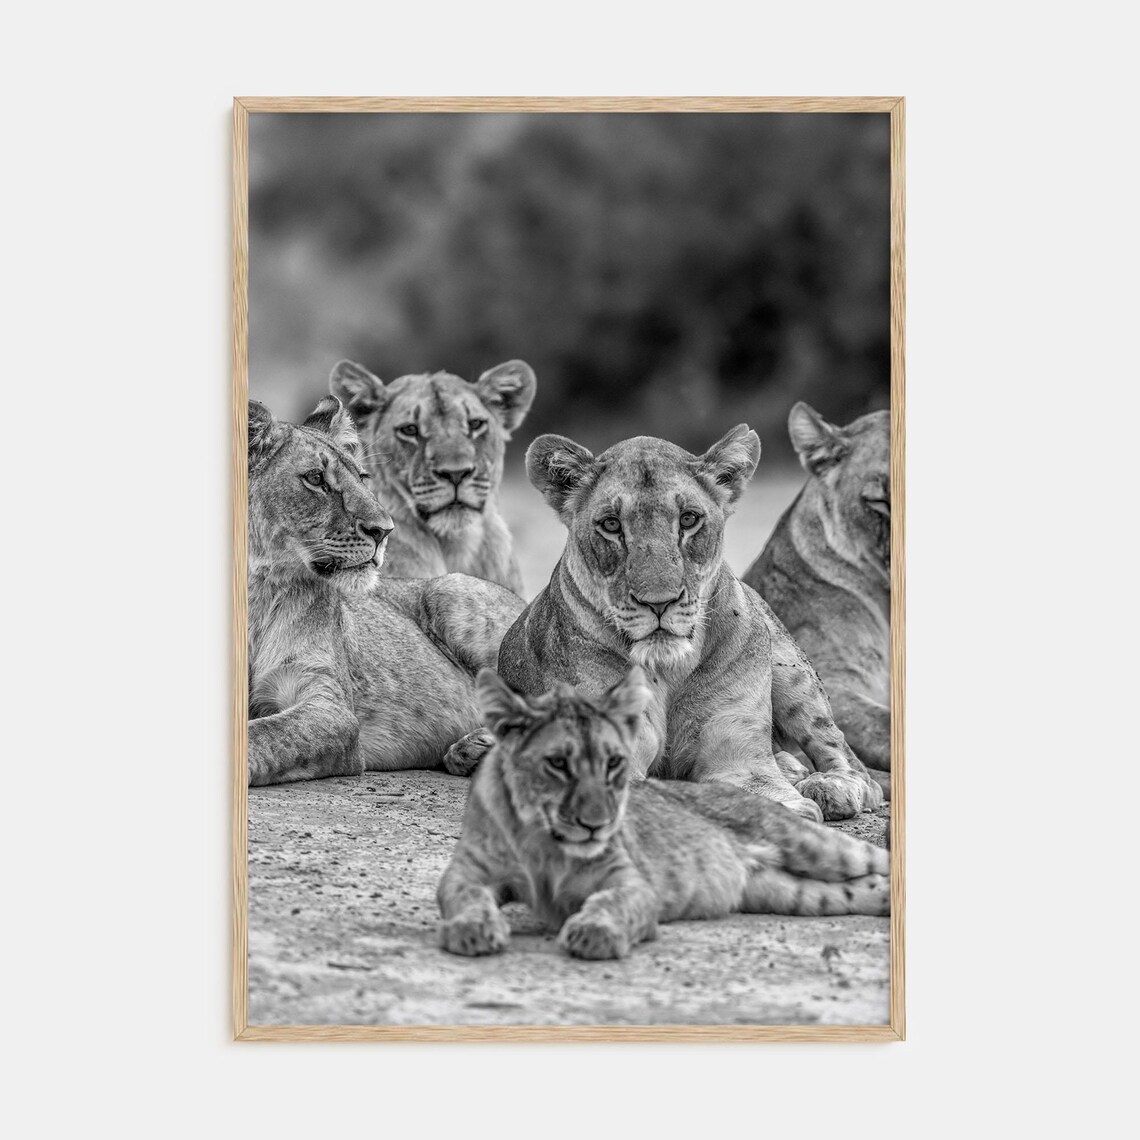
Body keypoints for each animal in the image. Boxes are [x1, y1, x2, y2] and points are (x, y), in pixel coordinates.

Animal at [246, 396, 524, 786]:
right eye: (316, 479)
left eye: (363, 478)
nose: (384, 530)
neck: (257, 593)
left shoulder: (332, 709)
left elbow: (262, 734)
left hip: (448, 589)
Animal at [438, 667, 889, 960]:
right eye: (558, 763)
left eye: (614, 763)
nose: (598, 822)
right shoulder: (466, 874)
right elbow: (464, 896)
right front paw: (472, 930)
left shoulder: (632, 882)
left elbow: (613, 903)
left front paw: (594, 933)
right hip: (786, 892)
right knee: (856, 888)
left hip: (811, 843)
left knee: (874, 856)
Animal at [492, 425, 883, 822]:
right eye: (611, 525)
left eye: (689, 519)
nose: (659, 602)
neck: (669, 669)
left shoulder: (742, 762)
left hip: (793, 672)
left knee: (853, 763)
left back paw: (831, 786)